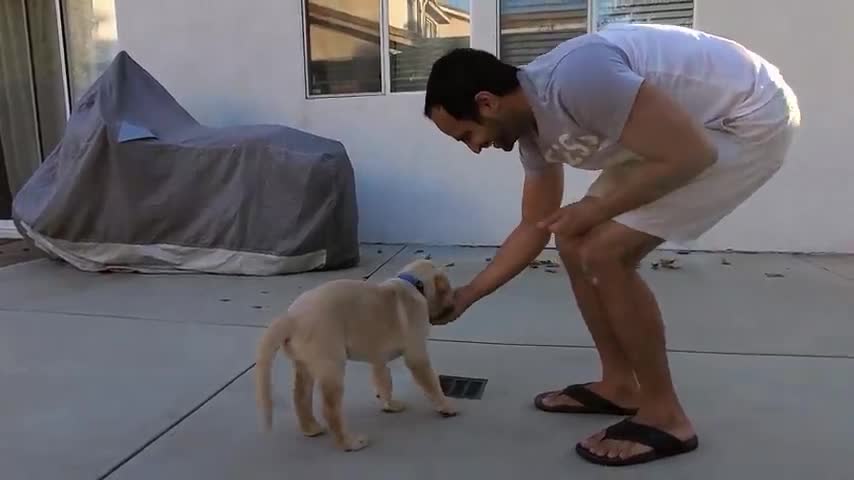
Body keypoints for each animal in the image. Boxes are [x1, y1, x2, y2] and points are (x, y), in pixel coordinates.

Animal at [256, 258, 462, 450]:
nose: (452, 306)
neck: (412, 284)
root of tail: (291, 317)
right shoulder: (417, 356)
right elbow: (432, 384)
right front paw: (446, 406)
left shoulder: (378, 357)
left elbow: (384, 382)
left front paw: (389, 405)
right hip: (332, 366)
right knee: (330, 410)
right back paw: (349, 442)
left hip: (305, 365)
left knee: (300, 397)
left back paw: (311, 429)